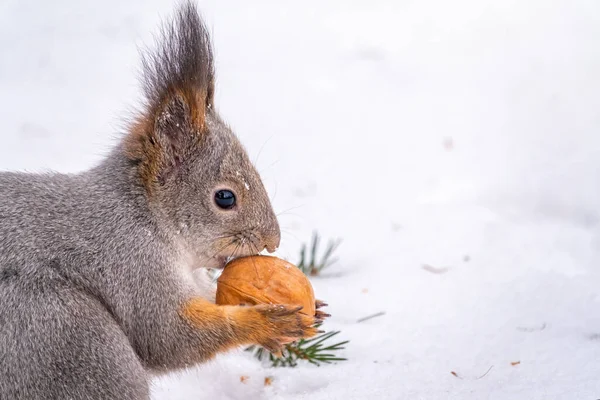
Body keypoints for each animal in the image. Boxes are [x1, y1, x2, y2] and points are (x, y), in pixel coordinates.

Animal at [0, 1, 324, 398]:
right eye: (225, 198)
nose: (272, 241)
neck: (144, 214)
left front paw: (315, 308)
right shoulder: (130, 261)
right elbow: (170, 336)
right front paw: (266, 322)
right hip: (69, 337)